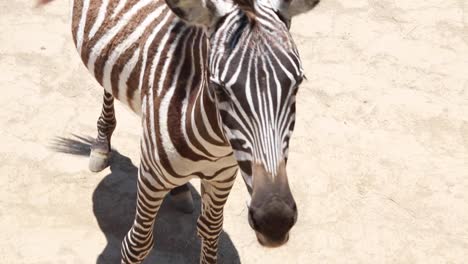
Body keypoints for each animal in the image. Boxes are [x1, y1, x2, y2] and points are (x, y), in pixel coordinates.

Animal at [41, 0, 318, 262]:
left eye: (297, 84)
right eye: (219, 90)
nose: (274, 220)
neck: (214, 144)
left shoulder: (224, 176)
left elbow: (210, 230)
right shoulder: (150, 178)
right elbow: (137, 244)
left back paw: (180, 190)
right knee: (107, 86)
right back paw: (101, 146)